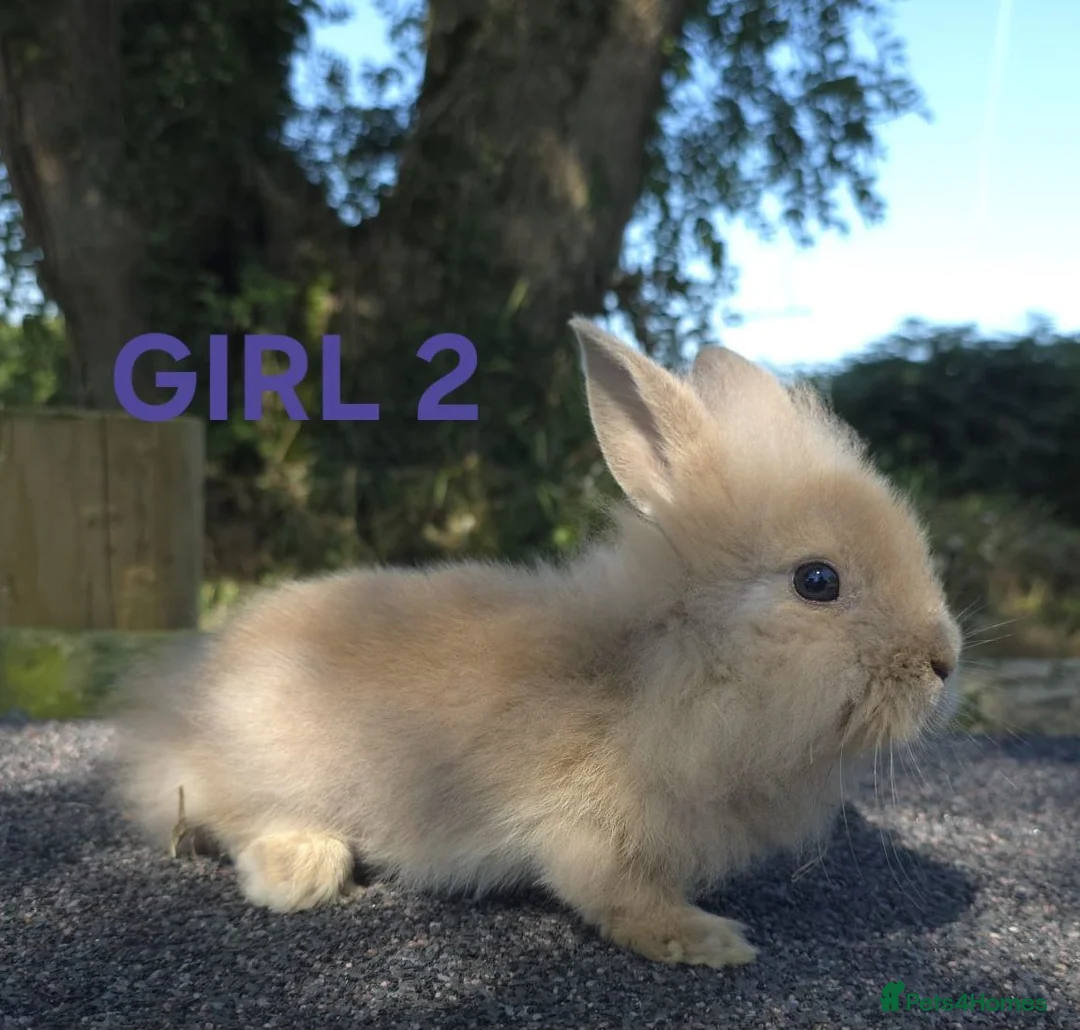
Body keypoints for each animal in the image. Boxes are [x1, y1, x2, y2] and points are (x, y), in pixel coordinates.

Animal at [110, 317, 961, 969]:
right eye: (818, 581)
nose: (944, 663)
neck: (657, 665)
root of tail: (183, 707)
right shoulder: (589, 831)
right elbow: (622, 897)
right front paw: (710, 942)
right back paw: (302, 870)